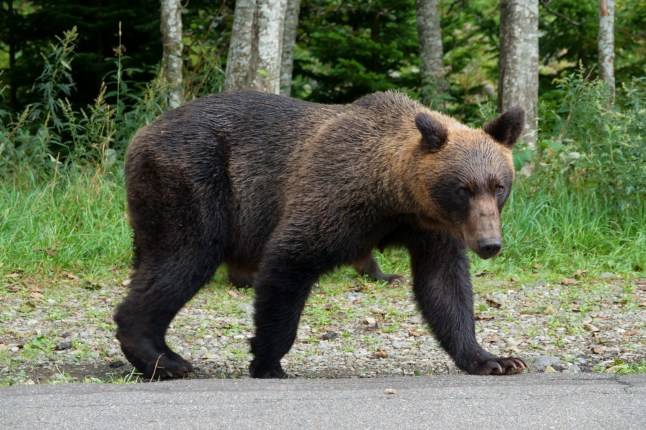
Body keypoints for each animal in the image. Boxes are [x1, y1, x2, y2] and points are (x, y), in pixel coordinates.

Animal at [114, 90, 527, 379]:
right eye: (463, 188)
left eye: (498, 186)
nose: (489, 244)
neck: (395, 194)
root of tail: (142, 133)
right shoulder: (337, 194)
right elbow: (290, 259)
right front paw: (267, 359)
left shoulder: (432, 229)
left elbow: (444, 287)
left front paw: (495, 359)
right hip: (194, 180)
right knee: (184, 257)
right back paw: (163, 360)